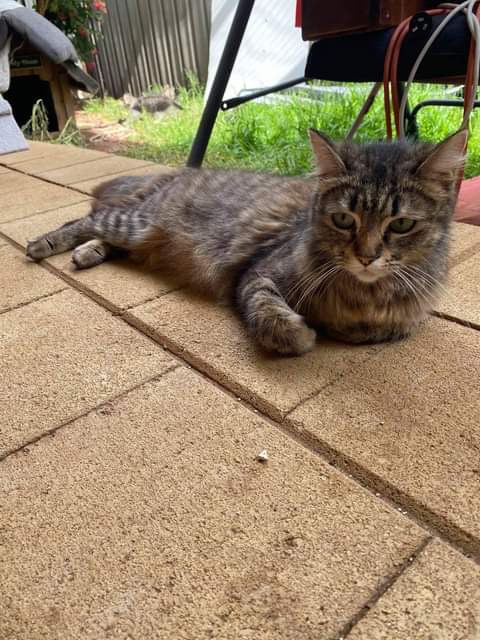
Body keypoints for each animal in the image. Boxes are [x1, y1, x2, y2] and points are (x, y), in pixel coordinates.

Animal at [25, 129, 466, 356]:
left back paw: (88, 253)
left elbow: (375, 330)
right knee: (85, 219)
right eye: (343, 219)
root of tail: (177, 173)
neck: (365, 293)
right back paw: (45, 244)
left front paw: (339, 327)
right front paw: (303, 333)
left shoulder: (402, 322)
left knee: (103, 235)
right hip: (136, 222)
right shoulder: (256, 275)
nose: (367, 257)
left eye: (402, 224)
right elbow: (272, 317)